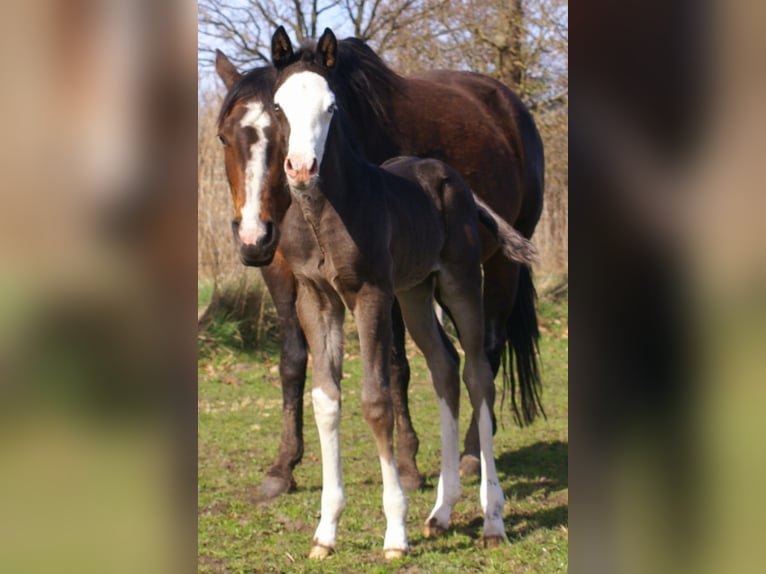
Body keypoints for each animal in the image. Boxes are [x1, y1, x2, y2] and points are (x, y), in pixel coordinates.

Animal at [214, 27, 545, 499]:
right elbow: (293, 362)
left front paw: (406, 464)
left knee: (487, 349)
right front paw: (282, 466)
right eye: (224, 137)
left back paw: (470, 455)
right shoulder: (282, 271)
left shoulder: (383, 282)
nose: (253, 234)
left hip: (498, 263)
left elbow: (394, 365)